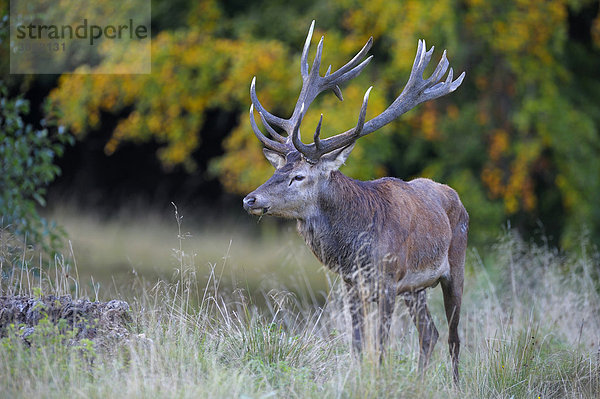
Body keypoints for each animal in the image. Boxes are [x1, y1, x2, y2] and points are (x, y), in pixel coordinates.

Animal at [244, 21, 468, 384]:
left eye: (299, 177)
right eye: (277, 170)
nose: (250, 198)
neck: (356, 247)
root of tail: (454, 195)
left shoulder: (389, 280)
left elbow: (381, 346)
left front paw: (379, 380)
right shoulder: (351, 284)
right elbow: (358, 344)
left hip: (455, 269)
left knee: (453, 337)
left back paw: (455, 385)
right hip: (416, 288)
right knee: (428, 333)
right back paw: (420, 383)